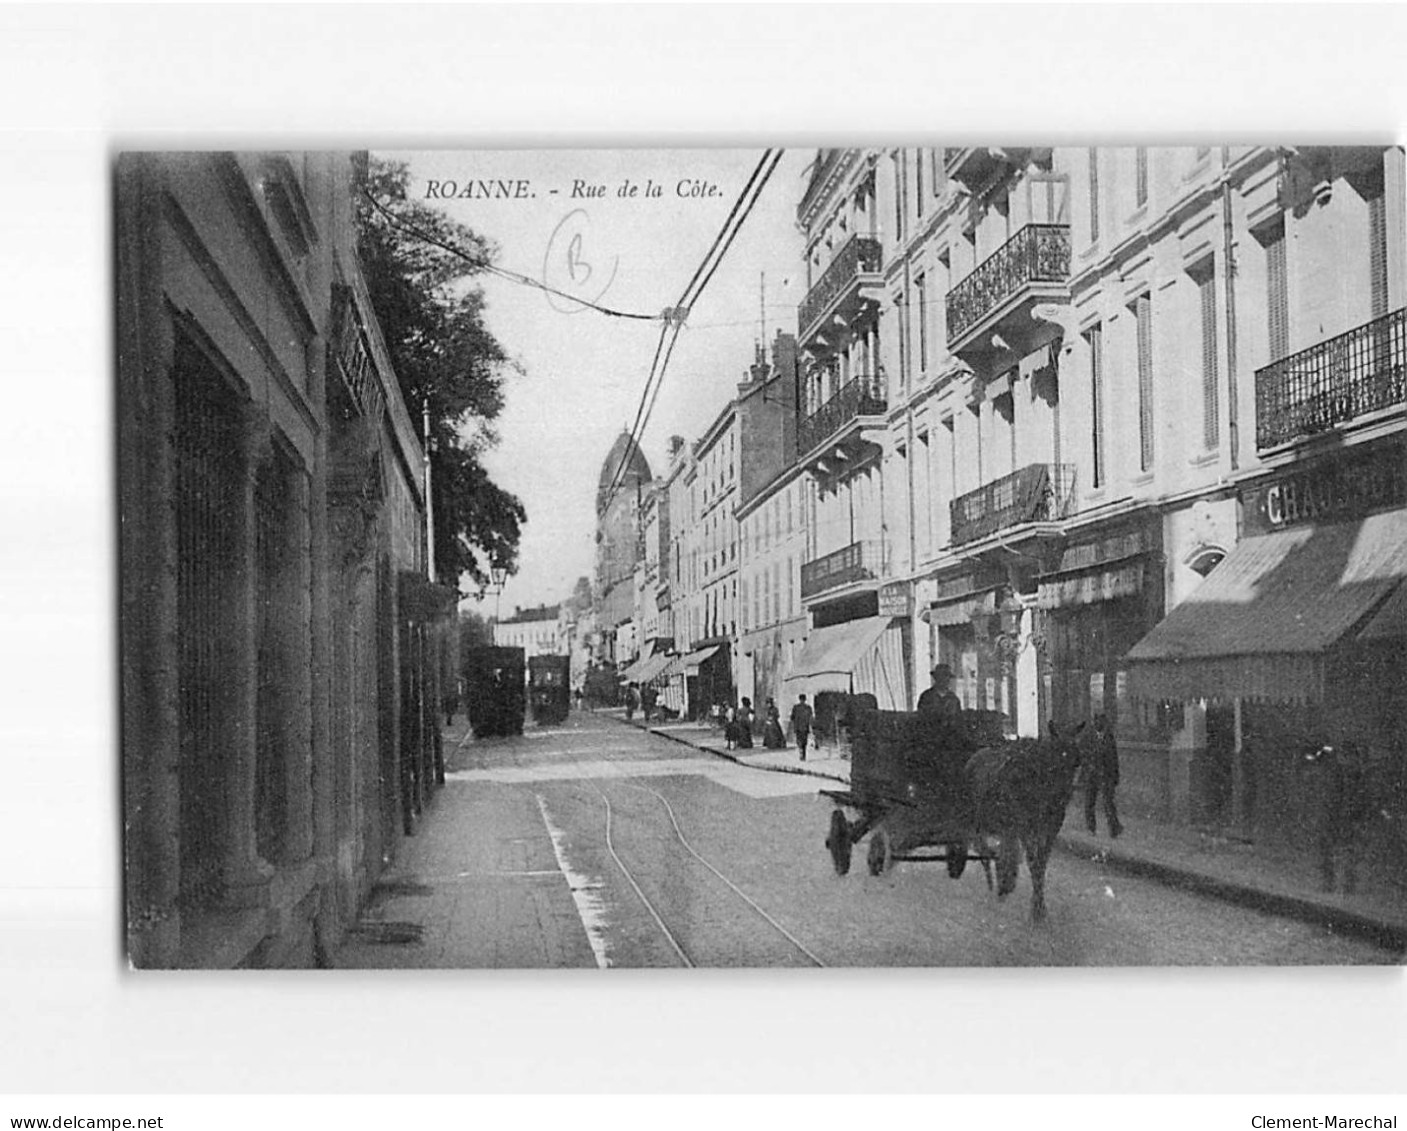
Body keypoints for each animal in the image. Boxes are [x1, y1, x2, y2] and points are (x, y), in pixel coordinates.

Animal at [968, 725, 1086, 917]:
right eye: (1054, 762)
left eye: (1076, 761)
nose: (1063, 798)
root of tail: (974, 757)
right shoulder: (1025, 827)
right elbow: (1033, 861)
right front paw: (1037, 908)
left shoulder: (1050, 828)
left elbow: (1042, 862)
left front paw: (1038, 904)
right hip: (980, 818)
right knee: (981, 845)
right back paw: (996, 881)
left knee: (1000, 847)